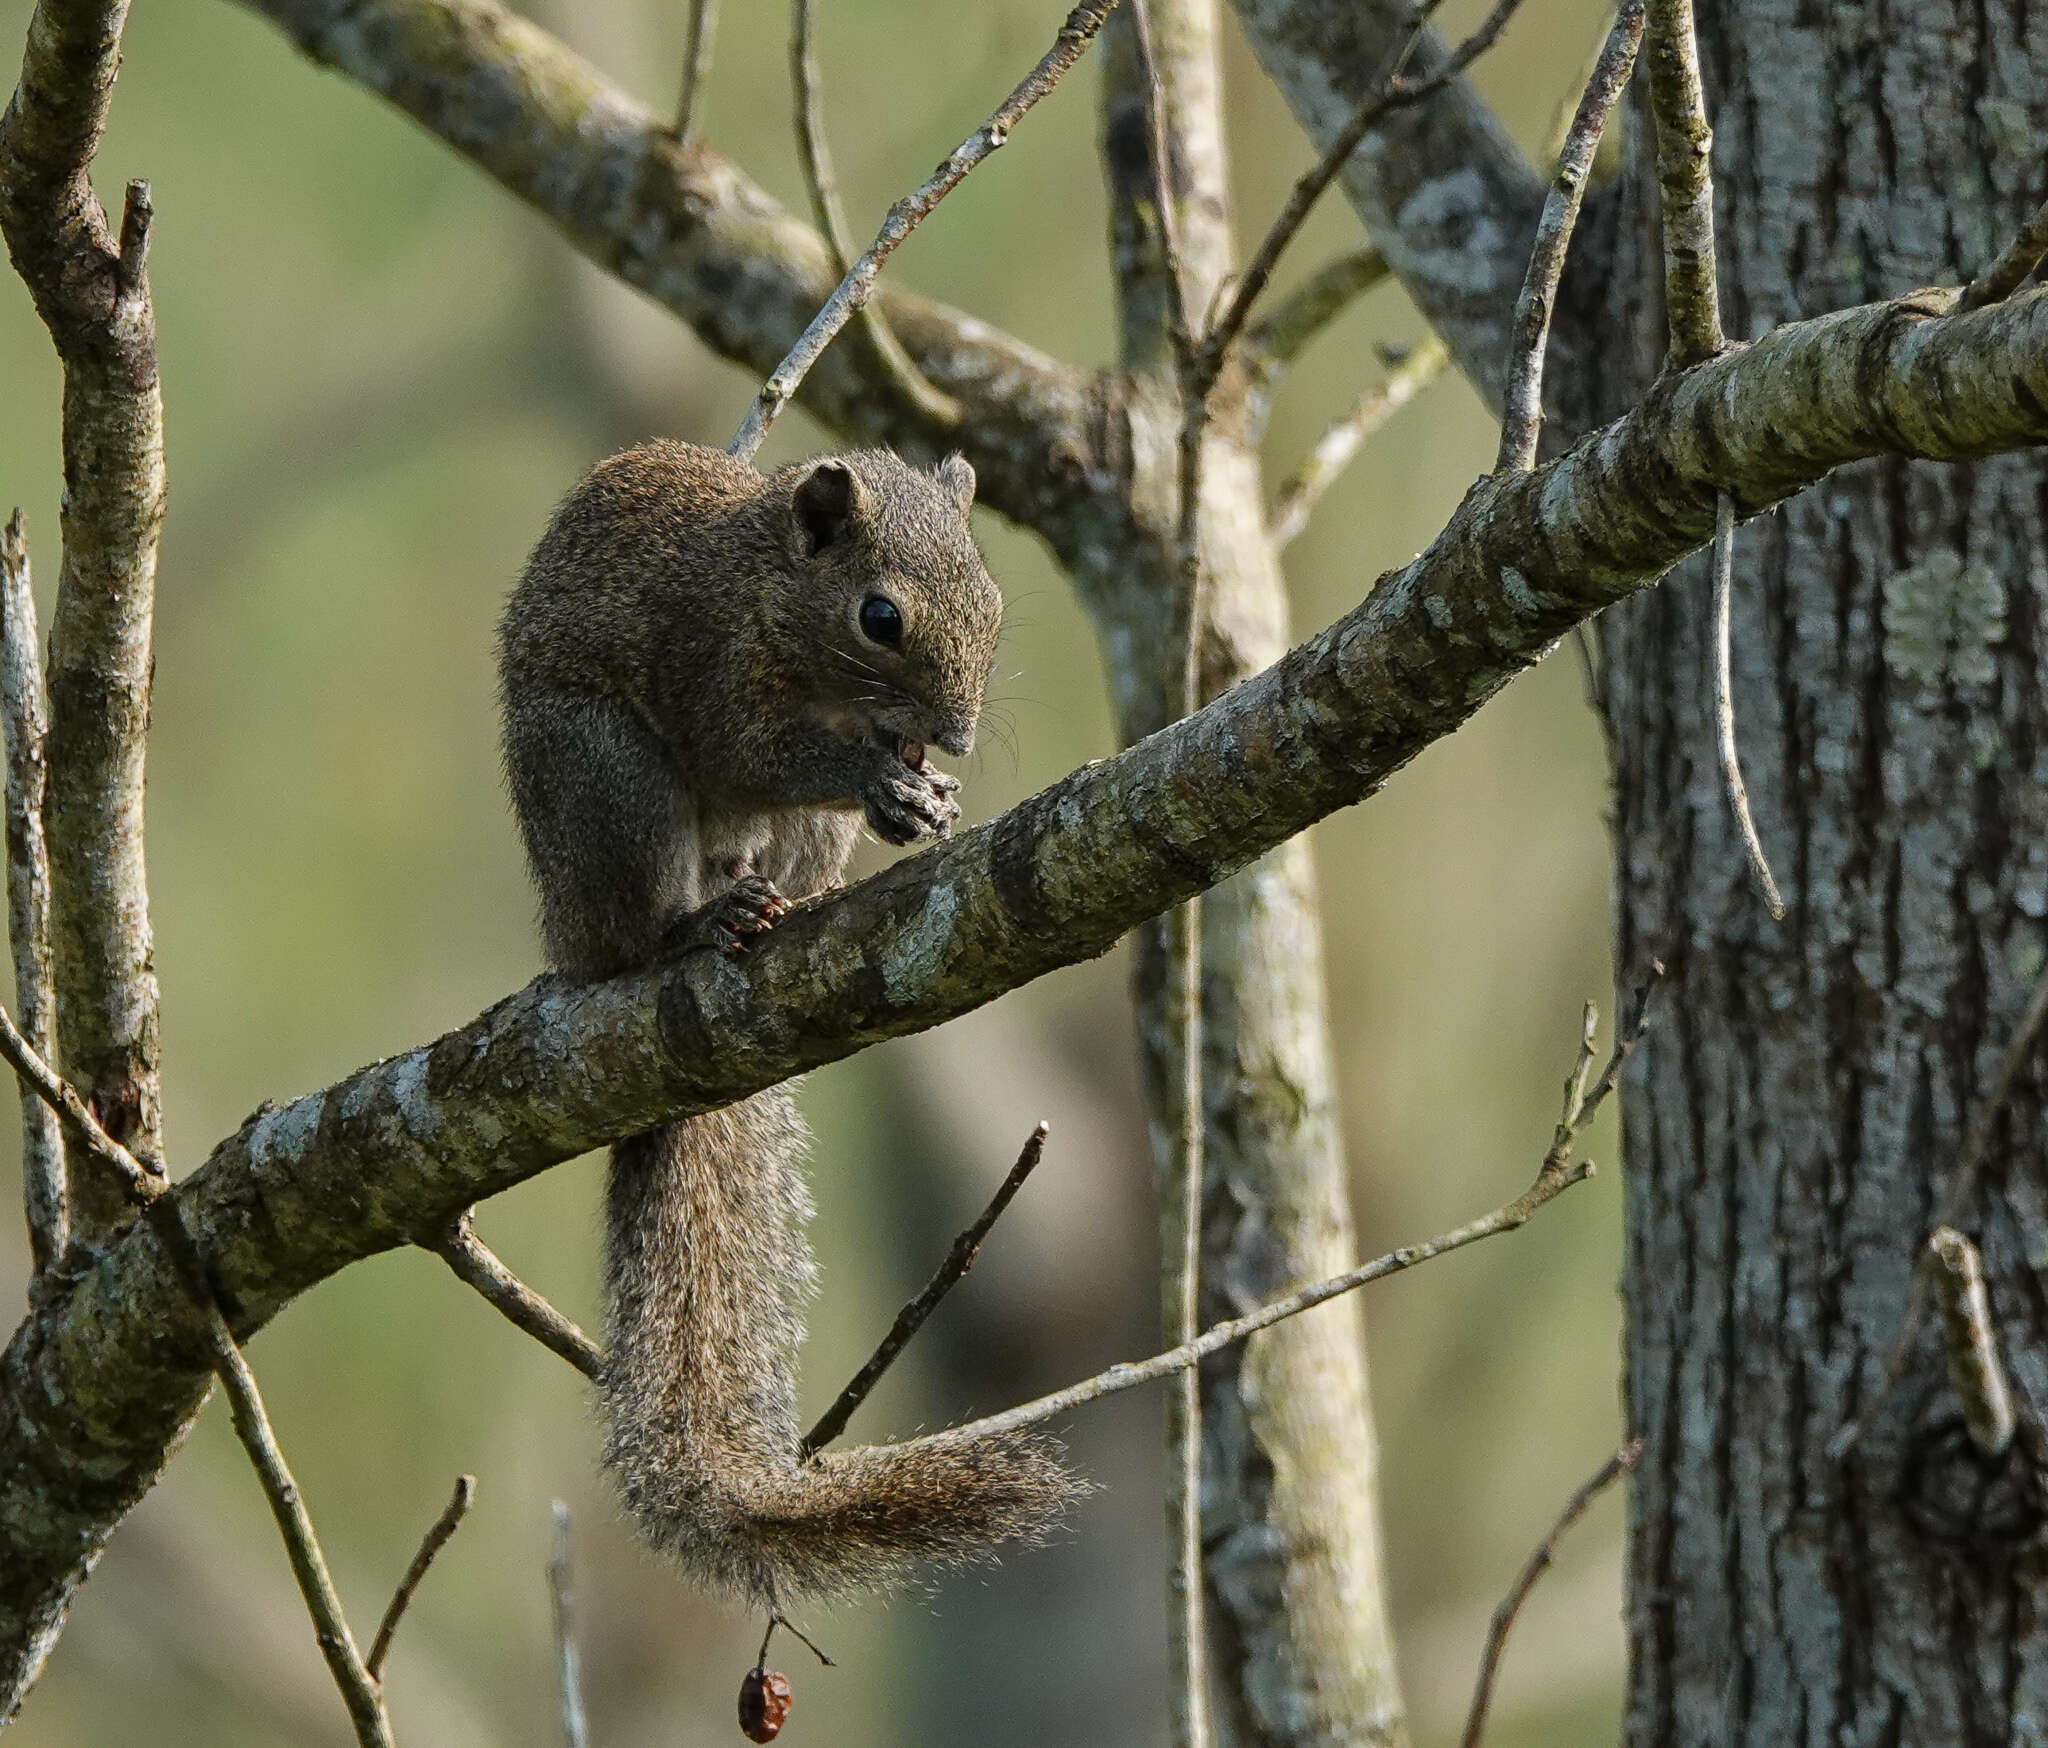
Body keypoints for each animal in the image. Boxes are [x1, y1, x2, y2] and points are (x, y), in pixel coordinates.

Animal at [497, 444, 1081, 1604]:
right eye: (879, 617)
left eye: (992, 601)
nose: (952, 737)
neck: (772, 591)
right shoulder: (714, 668)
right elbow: (754, 749)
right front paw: (874, 778)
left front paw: (924, 796)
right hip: (603, 783)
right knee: (634, 928)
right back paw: (691, 927)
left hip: (790, 842)